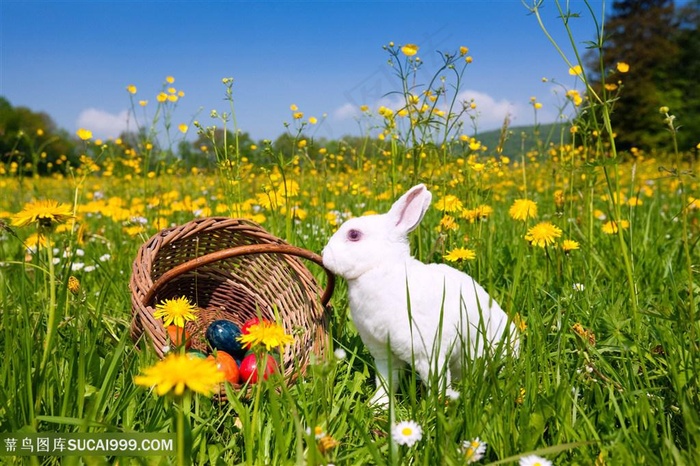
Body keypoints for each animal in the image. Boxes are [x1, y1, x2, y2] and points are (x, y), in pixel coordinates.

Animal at [324, 184, 520, 406]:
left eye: (354, 235)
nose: (324, 254)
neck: (381, 268)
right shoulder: (383, 354)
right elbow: (386, 382)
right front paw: (379, 405)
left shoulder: (430, 354)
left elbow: (437, 383)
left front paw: (436, 407)